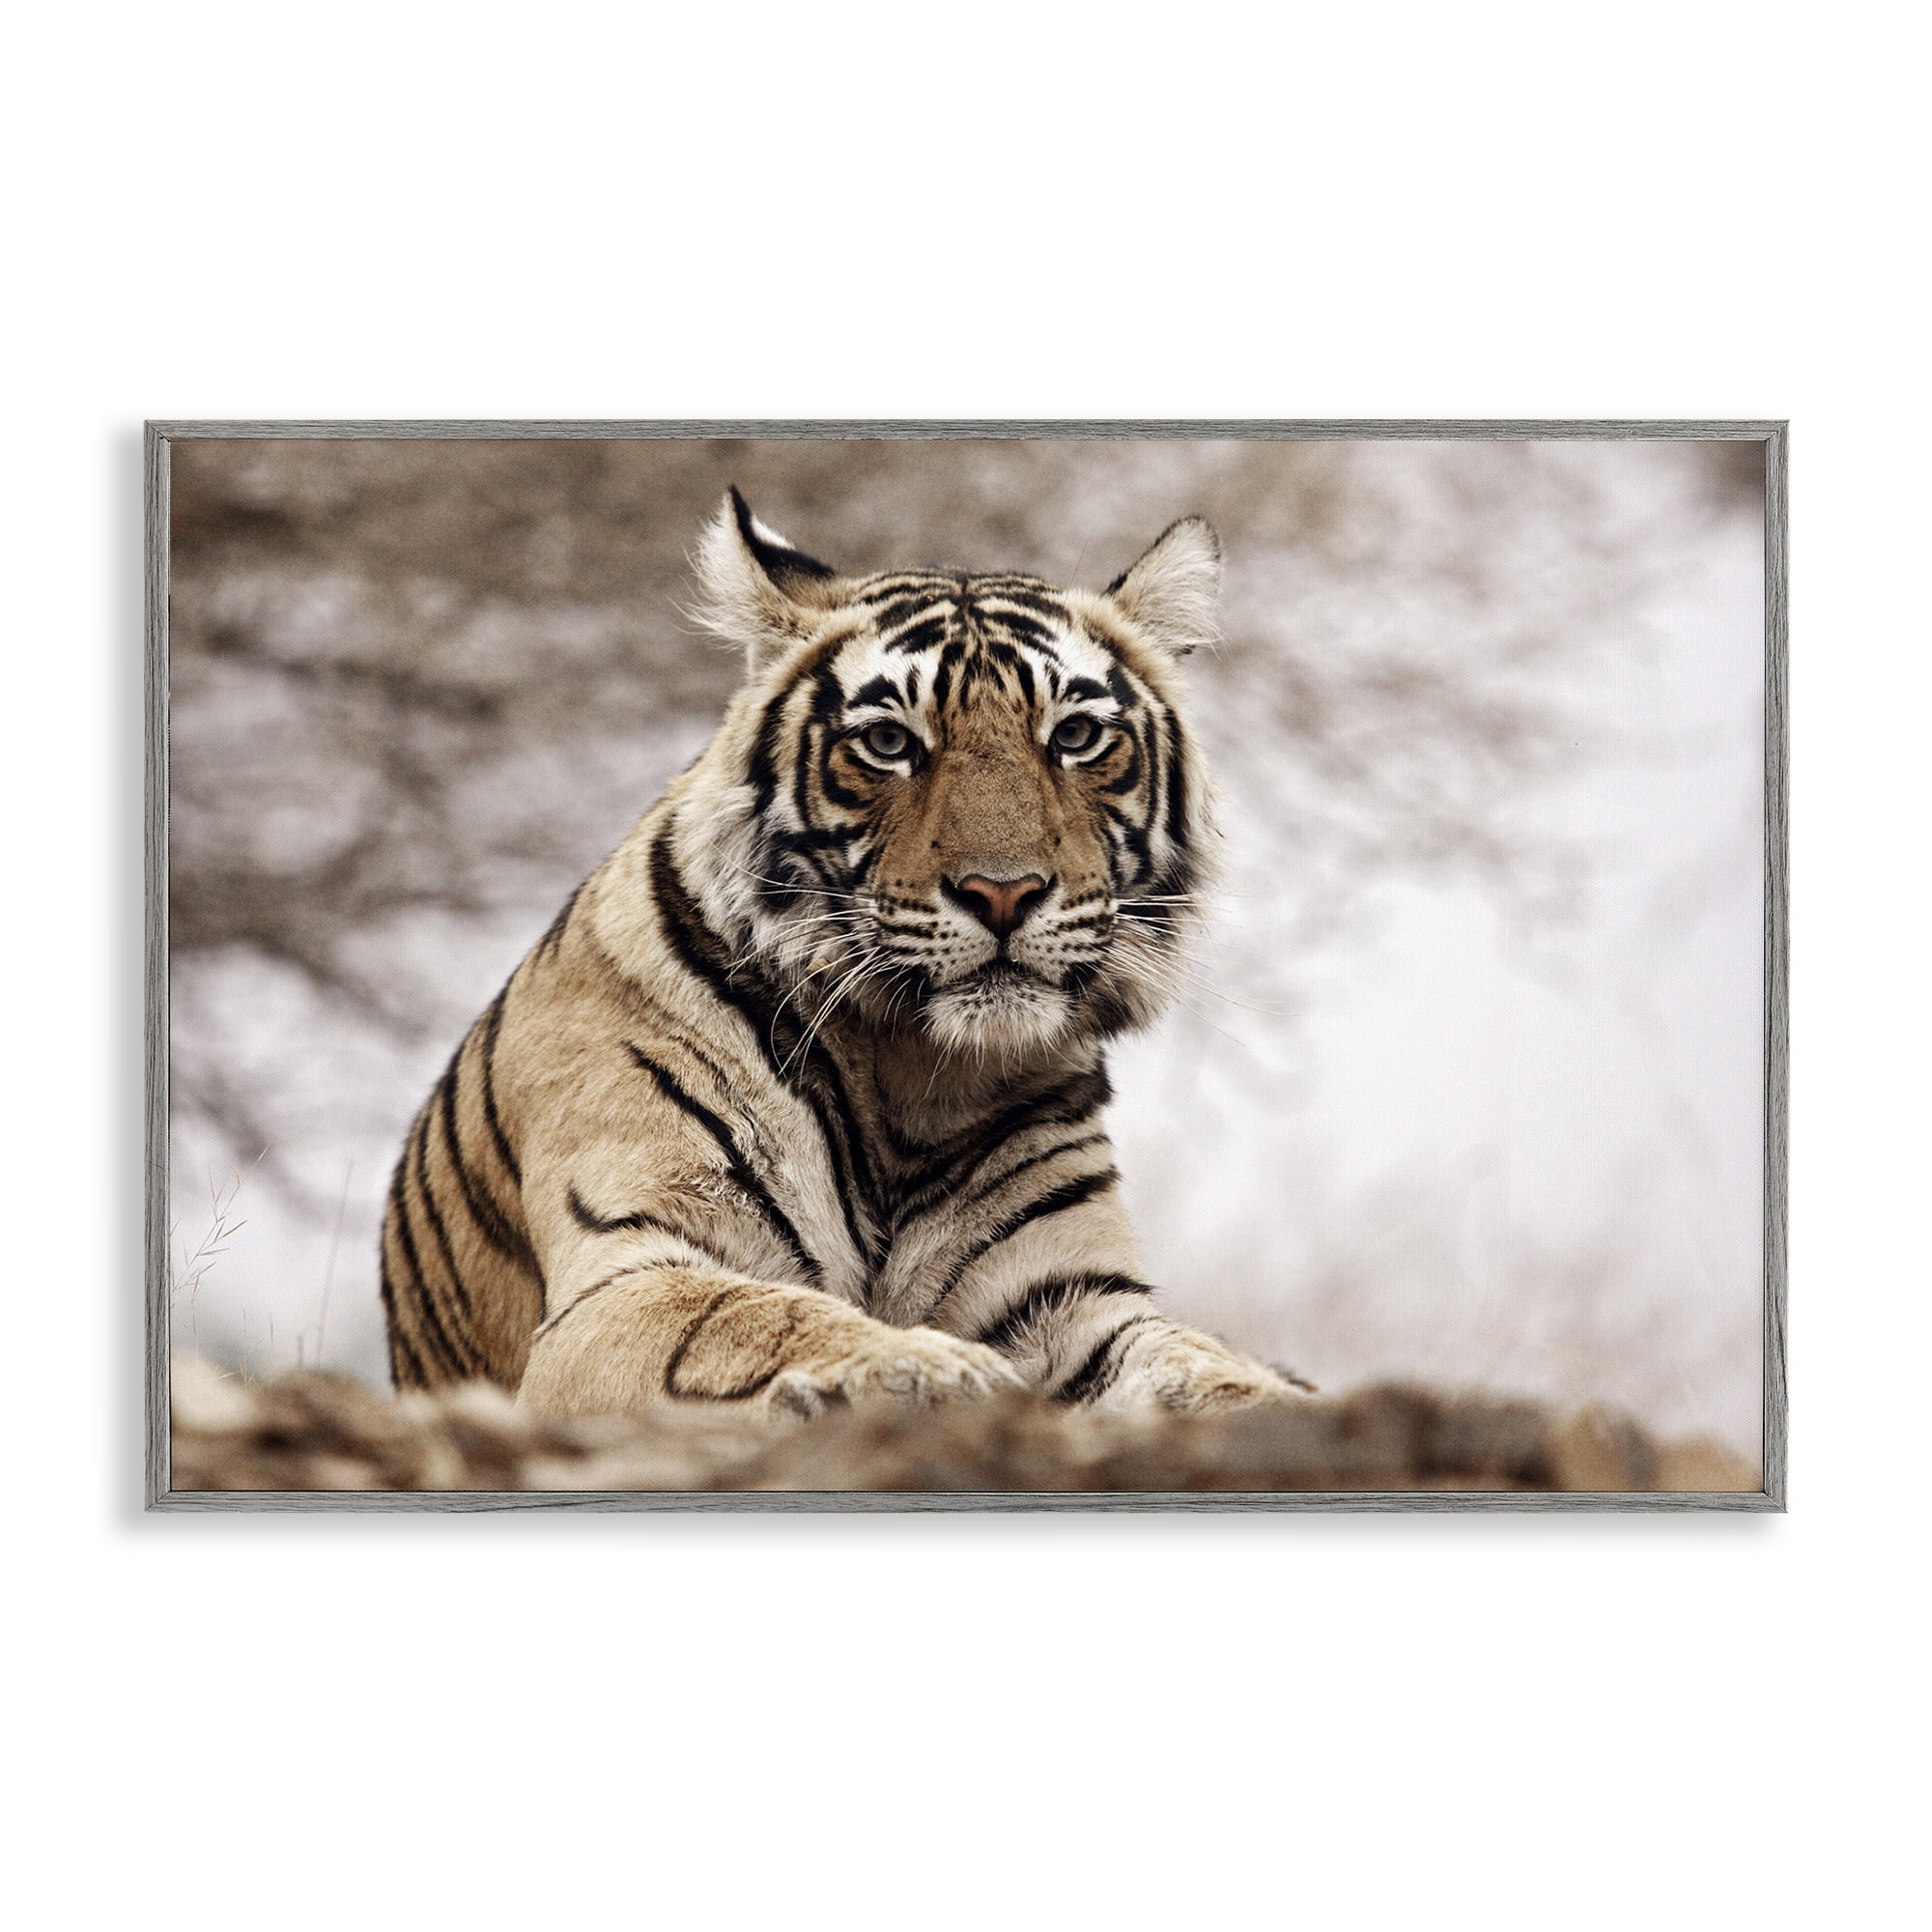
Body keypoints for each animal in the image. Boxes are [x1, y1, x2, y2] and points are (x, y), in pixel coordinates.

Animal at [380, 489, 1301, 1420]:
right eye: (889, 744)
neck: (914, 1077)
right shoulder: (624, 1274)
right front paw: (938, 1370)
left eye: (1074, 735)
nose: (1003, 893)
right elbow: (759, 1318)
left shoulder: (1071, 1296)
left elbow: (1198, 1364)